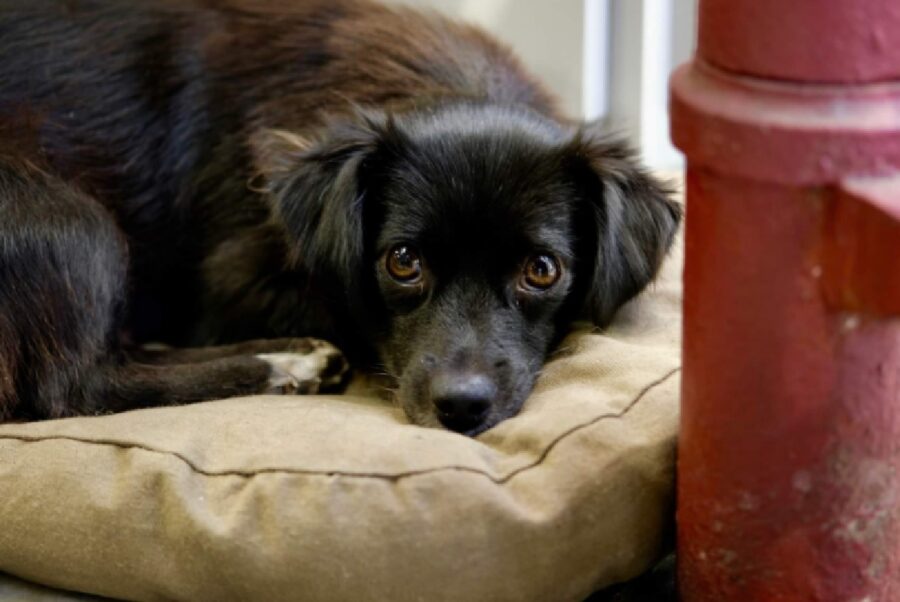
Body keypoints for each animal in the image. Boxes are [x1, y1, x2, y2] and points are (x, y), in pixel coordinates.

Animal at [0, 0, 676, 432]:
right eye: (402, 261)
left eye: (541, 269)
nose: (461, 408)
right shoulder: (229, 290)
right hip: (73, 220)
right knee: (78, 386)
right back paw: (283, 365)